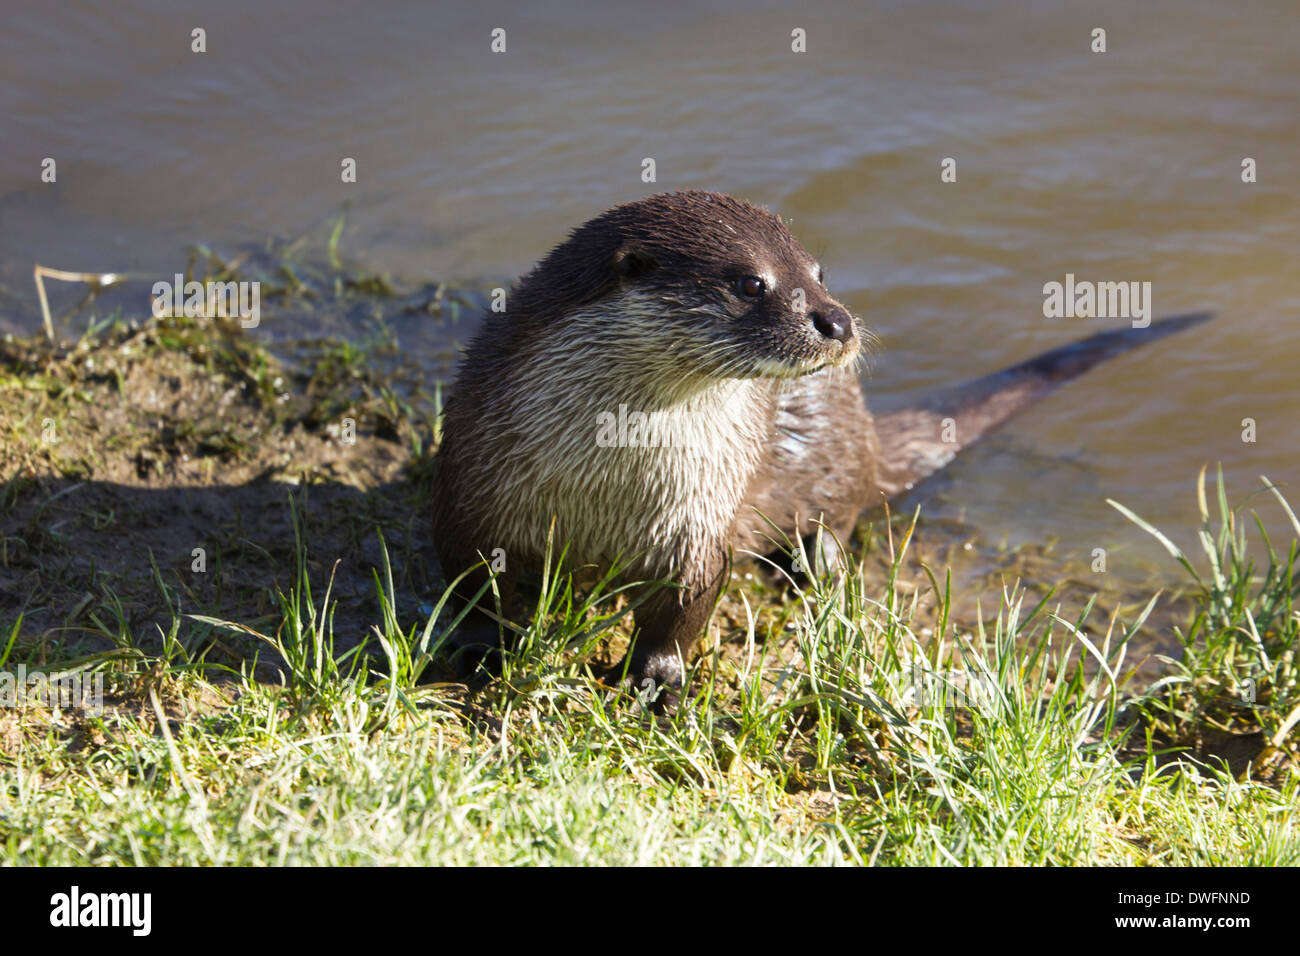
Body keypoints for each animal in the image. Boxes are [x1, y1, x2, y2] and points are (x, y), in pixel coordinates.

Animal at [434, 191, 1206, 707]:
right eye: (751, 282)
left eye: (819, 271)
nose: (835, 320)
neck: (604, 488)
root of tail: (864, 429)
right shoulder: (475, 485)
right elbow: (466, 580)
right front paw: (474, 649)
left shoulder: (700, 518)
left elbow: (684, 608)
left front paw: (656, 681)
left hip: (832, 483)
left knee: (838, 521)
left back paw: (815, 571)